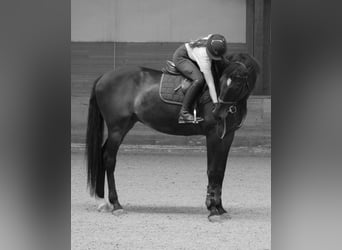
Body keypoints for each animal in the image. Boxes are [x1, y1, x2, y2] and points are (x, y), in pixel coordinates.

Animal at [85, 53, 260, 221]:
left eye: (237, 84)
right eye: (222, 82)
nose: (217, 113)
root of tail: (104, 77)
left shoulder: (228, 135)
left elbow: (220, 171)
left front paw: (220, 209)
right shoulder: (213, 135)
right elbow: (212, 170)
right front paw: (212, 210)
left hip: (124, 126)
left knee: (102, 154)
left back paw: (103, 202)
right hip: (117, 129)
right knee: (109, 159)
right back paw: (116, 204)